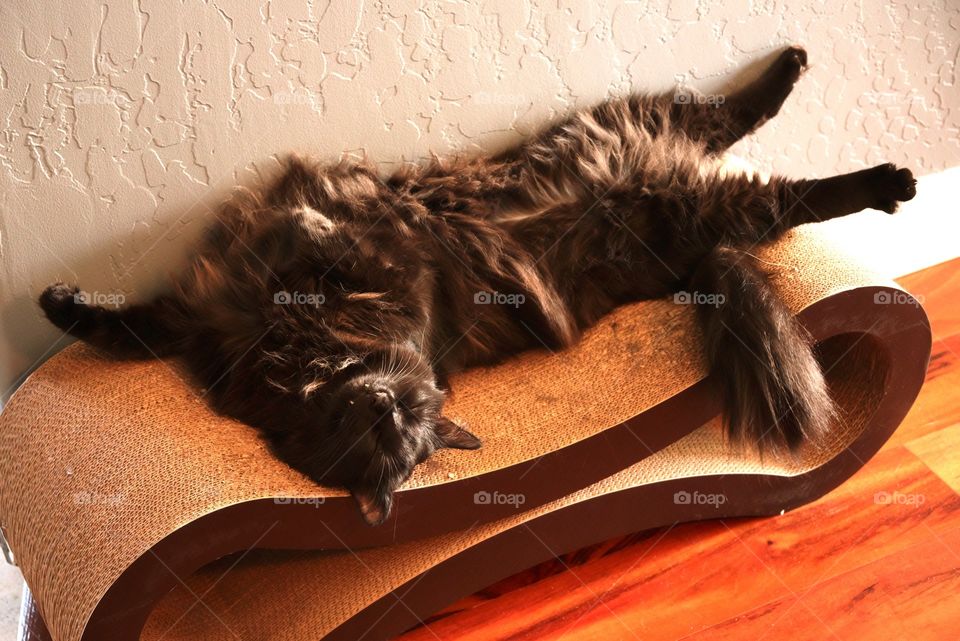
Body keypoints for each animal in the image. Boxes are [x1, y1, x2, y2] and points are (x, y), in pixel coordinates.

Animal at [37, 47, 916, 524]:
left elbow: (328, 253)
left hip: (654, 149)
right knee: (754, 150)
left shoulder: (364, 278)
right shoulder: (206, 320)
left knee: (755, 139)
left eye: (411, 414)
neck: (302, 359)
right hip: (678, 179)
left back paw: (860, 141)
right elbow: (133, 329)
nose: (388, 399)